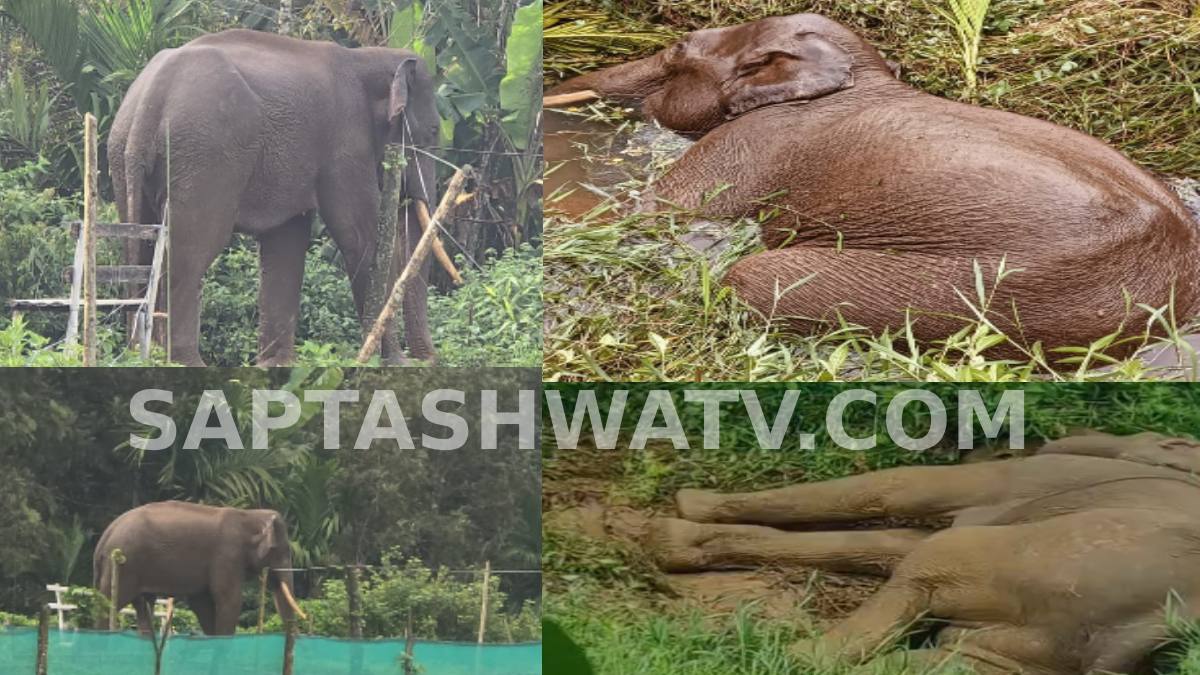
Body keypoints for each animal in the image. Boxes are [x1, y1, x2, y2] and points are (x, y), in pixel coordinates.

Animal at [94, 501, 307, 636]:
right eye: (281, 551)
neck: (248, 515)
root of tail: (105, 535)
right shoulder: (227, 555)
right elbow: (229, 600)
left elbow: (202, 604)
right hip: (124, 564)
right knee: (109, 604)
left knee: (144, 606)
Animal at [109, 29, 440, 366]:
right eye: (434, 132)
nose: (429, 359)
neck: (364, 57)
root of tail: (149, 103)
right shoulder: (346, 145)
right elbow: (361, 239)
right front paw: (396, 364)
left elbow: (287, 241)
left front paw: (277, 365)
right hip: (205, 159)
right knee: (192, 251)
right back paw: (186, 363)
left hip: (123, 158)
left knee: (142, 248)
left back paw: (140, 355)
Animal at [545, 14, 1200, 358]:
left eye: (680, 49)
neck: (862, 74)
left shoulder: (753, 143)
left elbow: (657, 215)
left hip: (984, 294)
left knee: (749, 279)